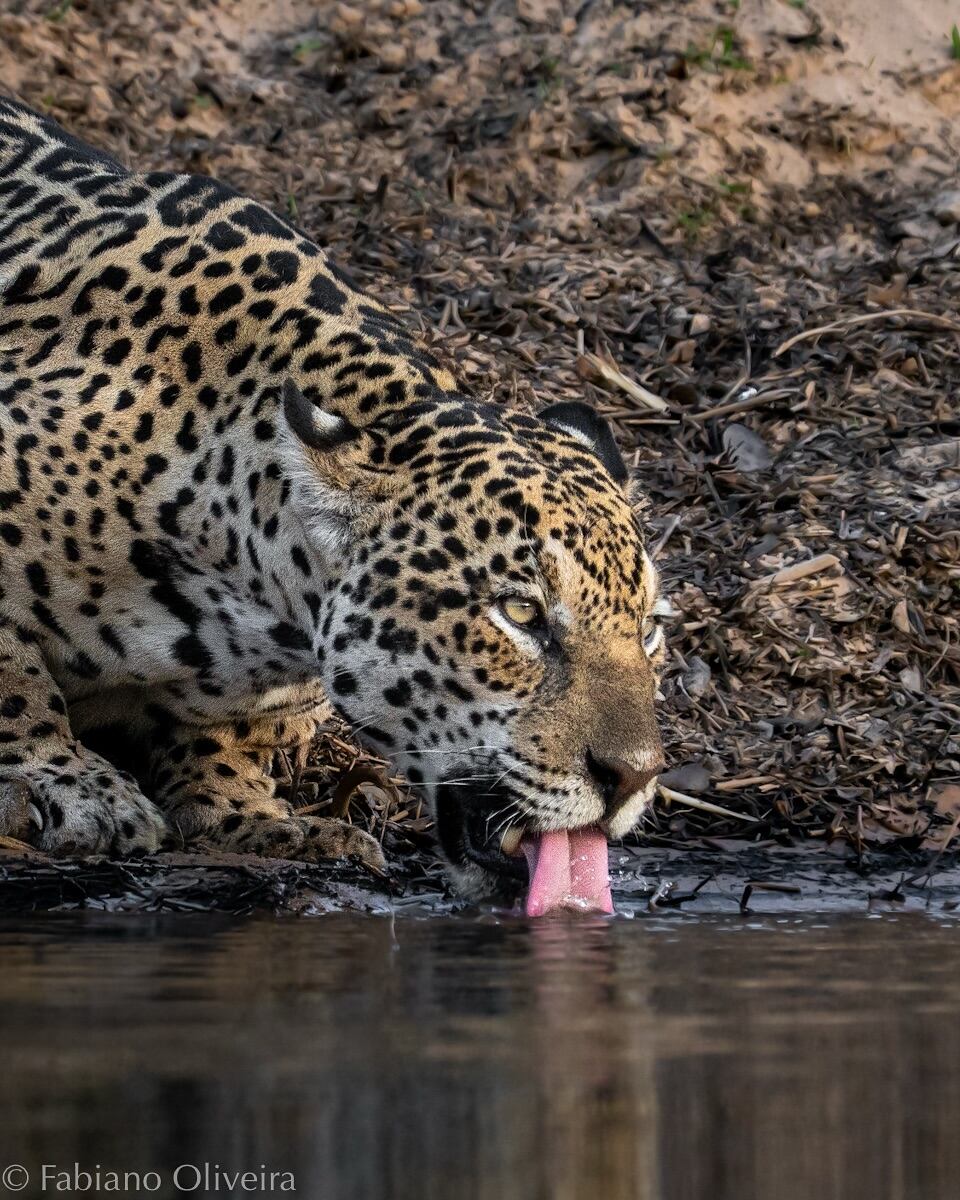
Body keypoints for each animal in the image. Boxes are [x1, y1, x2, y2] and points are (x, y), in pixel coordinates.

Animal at [0, 96, 667, 901]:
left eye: (649, 627)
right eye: (522, 615)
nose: (633, 776)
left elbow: (227, 734)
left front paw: (247, 810)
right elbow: (14, 673)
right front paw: (69, 782)